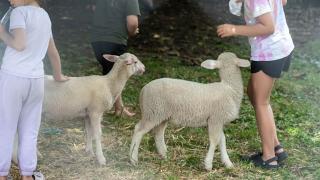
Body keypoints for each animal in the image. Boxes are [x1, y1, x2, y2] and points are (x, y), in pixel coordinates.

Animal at [12, 52, 145, 166]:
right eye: (135, 61)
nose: (144, 69)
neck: (109, 84)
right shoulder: (96, 112)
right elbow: (98, 134)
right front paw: (101, 158)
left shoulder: (87, 113)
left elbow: (89, 132)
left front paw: (89, 151)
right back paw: (24, 157)